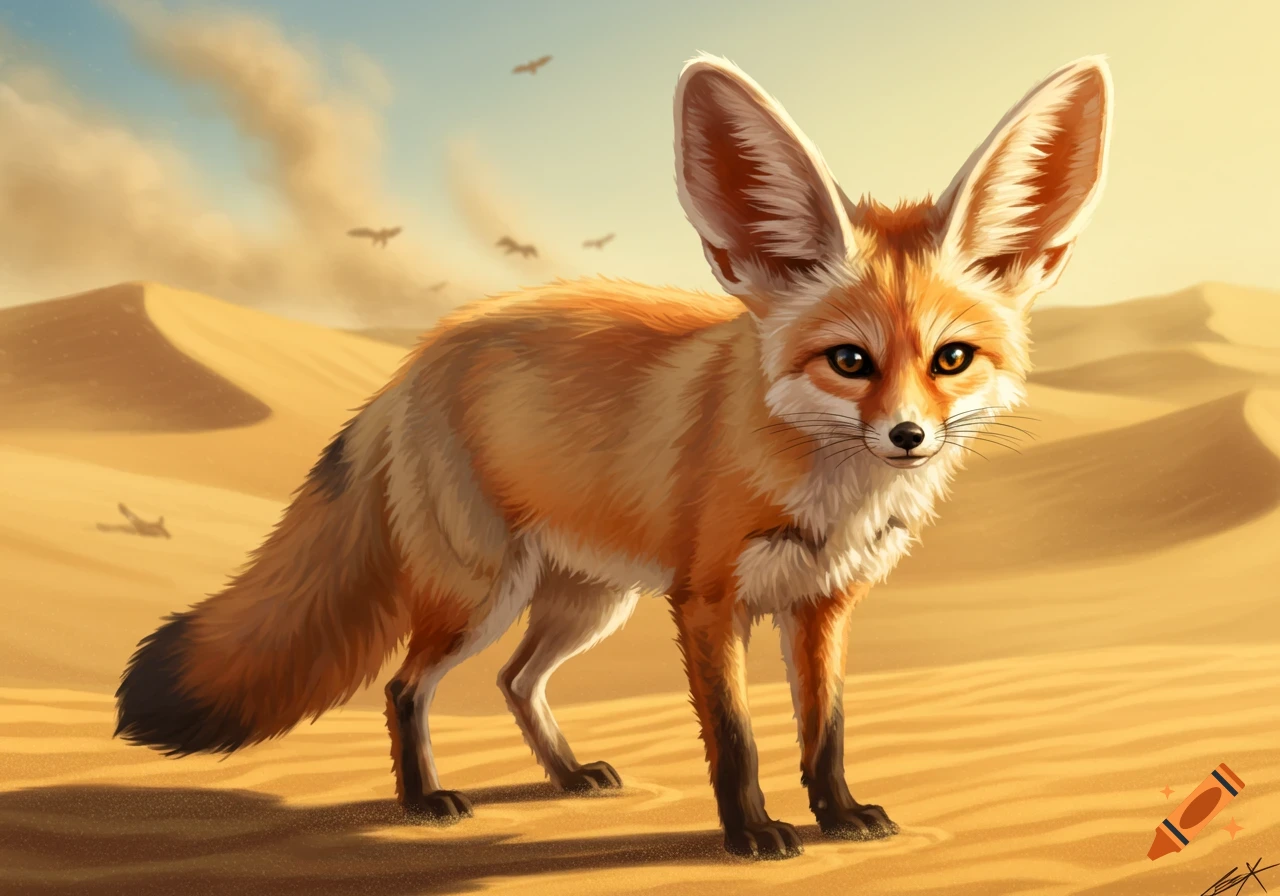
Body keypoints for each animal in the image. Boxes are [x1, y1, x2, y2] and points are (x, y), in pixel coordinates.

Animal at [115, 53, 1112, 859]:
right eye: (850, 362)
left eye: (952, 359)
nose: (908, 437)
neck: (829, 495)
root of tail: (419, 356)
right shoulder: (708, 603)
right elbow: (738, 738)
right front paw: (751, 835)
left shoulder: (822, 604)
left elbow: (824, 728)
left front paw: (838, 815)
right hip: (484, 594)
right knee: (404, 686)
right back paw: (424, 799)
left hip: (589, 602)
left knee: (516, 681)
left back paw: (564, 778)